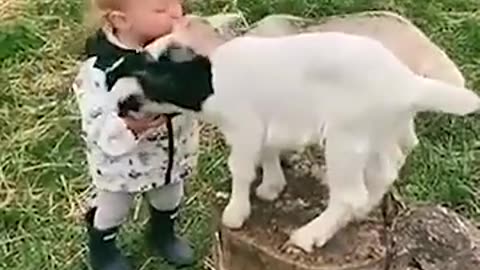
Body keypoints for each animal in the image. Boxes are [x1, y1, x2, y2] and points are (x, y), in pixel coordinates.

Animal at [103, 17, 478, 252]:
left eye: (145, 79)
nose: (121, 108)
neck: (209, 78)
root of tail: (409, 83)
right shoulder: (268, 123)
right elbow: (269, 152)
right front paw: (272, 187)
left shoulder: (245, 125)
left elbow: (241, 169)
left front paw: (236, 214)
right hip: (380, 133)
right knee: (387, 169)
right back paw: (362, 211)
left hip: (346, 138)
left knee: (350, 193)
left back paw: (310, 236)